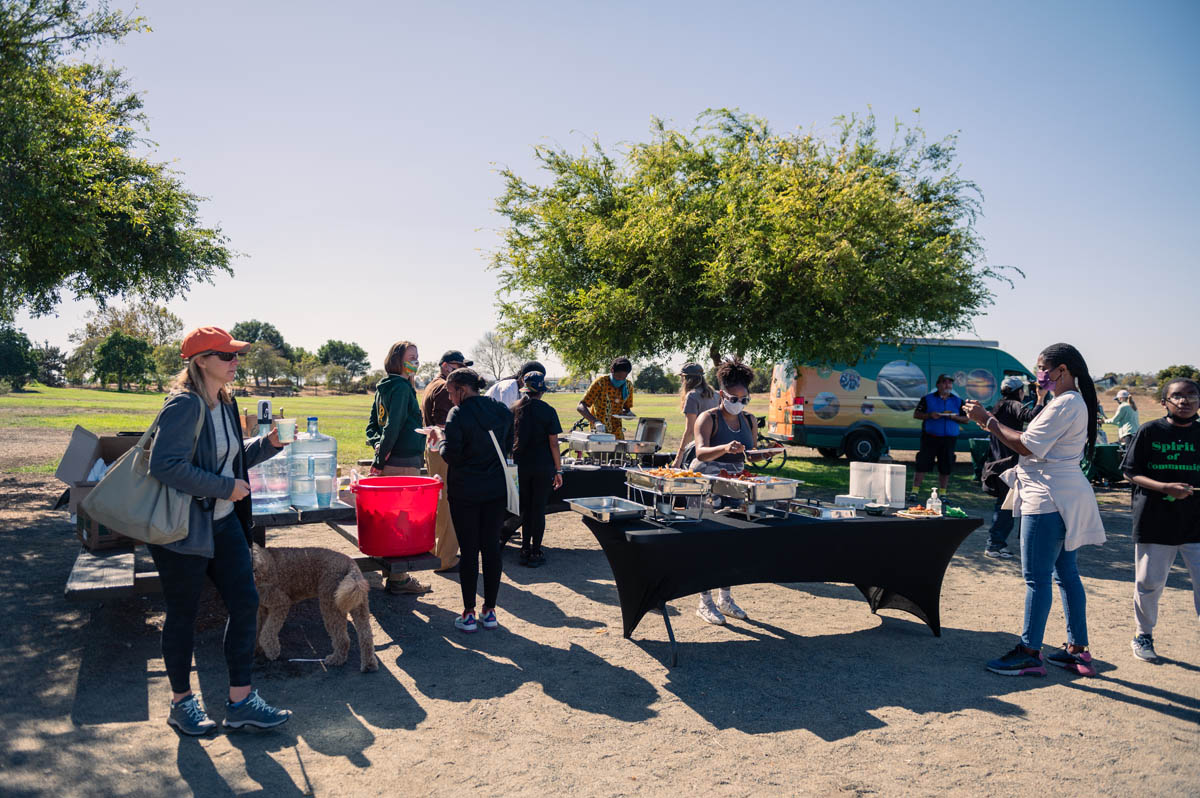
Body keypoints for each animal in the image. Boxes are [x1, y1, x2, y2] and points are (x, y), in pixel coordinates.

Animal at [253, 542, 379, 672]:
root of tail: (351, 564)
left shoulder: (281, 603)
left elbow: (267, 631)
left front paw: (272, 651)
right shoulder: (262, 608)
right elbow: (258, 628)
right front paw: (257, 649)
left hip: (330, 604)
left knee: (343, 640)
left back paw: (336, 659)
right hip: (359, 604)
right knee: (366, 636)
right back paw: (369, 665)